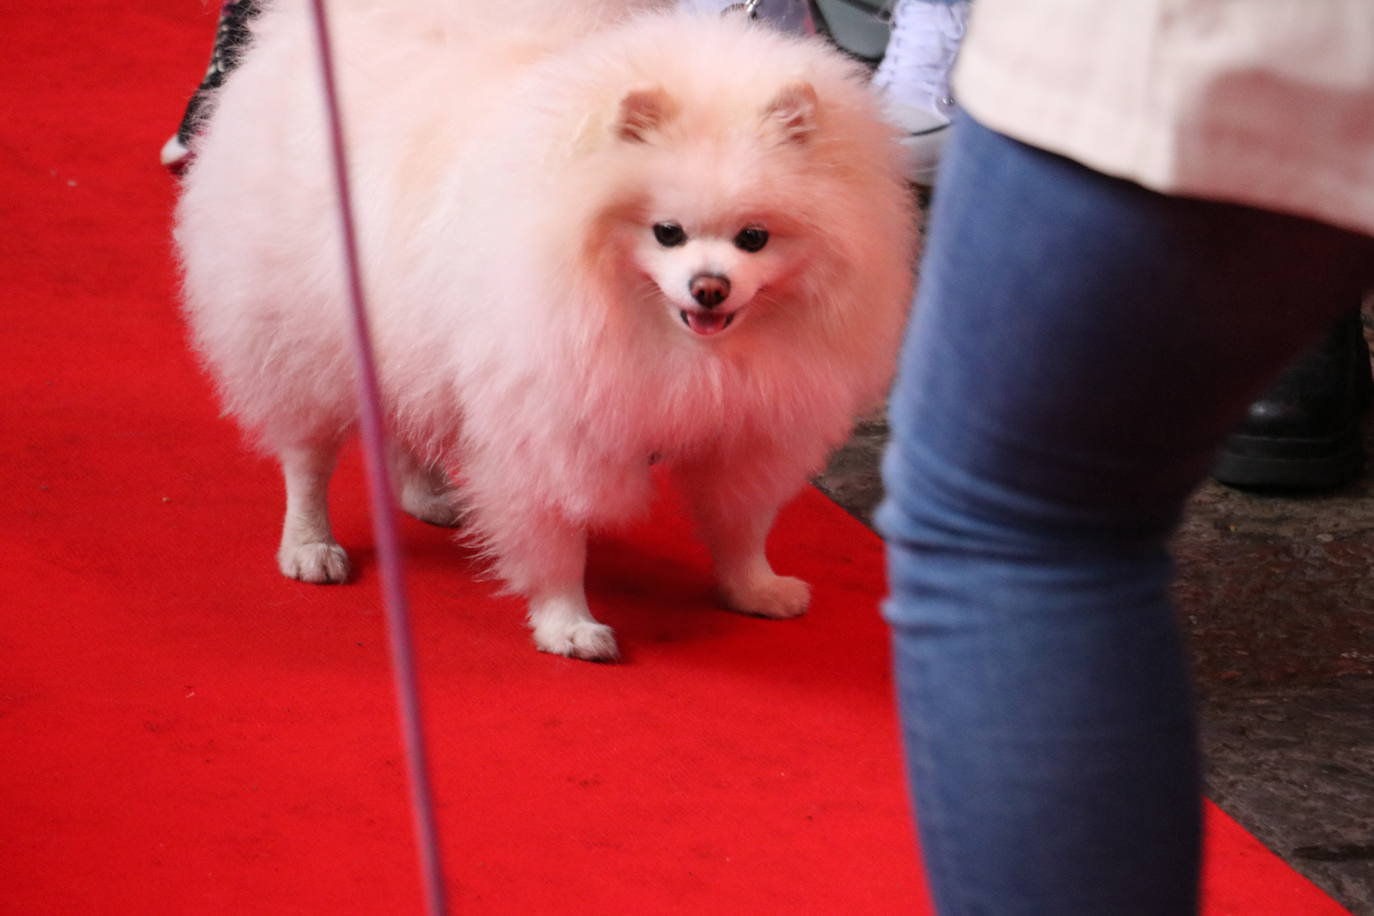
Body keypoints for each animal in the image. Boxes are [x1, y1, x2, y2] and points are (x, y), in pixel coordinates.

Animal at [177, 0, 917, 659]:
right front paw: (567, 625)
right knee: (308, 453)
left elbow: (742, 521)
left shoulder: (753, 426)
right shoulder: (553, 423)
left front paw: (753, 588)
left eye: (754, 237)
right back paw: (310, 544)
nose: (710, 287)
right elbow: (557, 534)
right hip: (301, 332)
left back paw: (427, 493)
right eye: (666, 232)